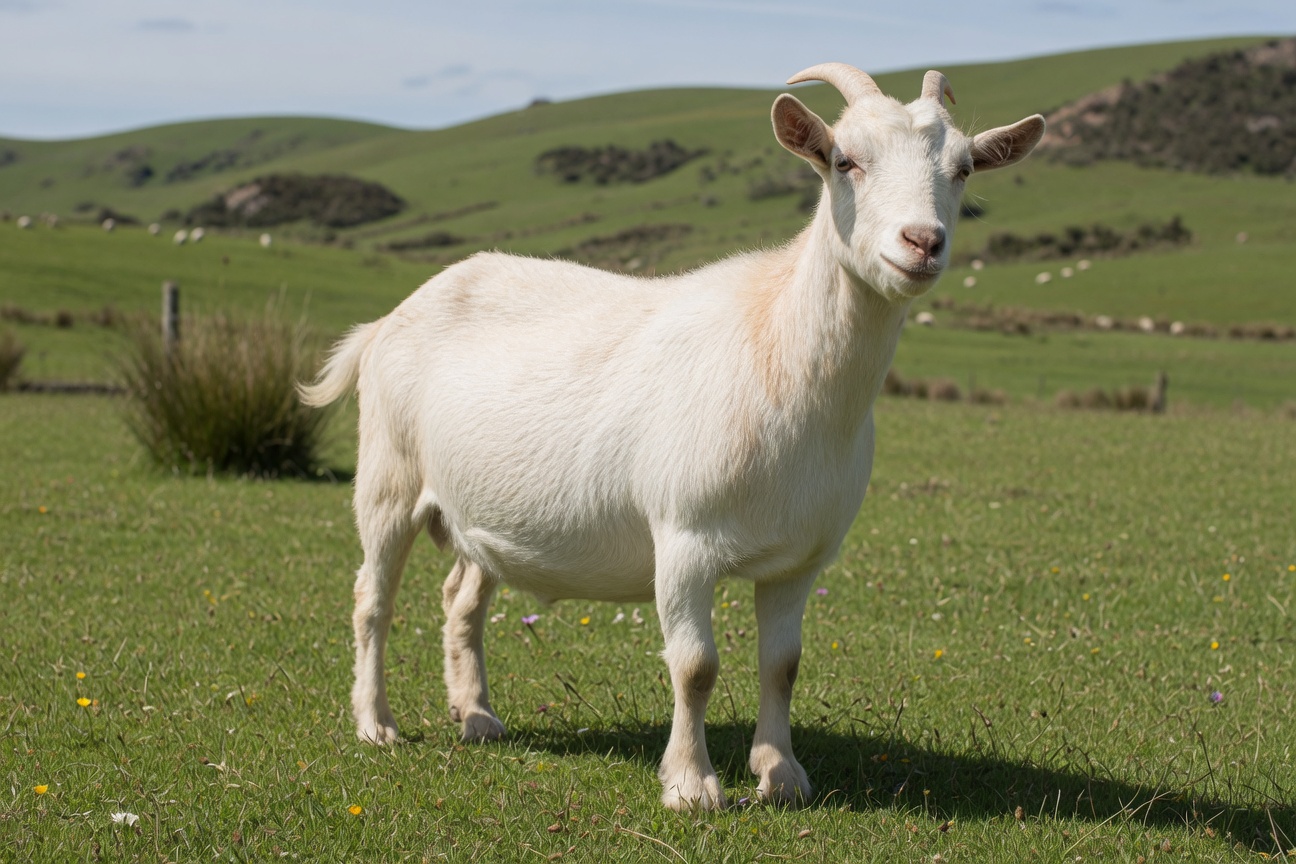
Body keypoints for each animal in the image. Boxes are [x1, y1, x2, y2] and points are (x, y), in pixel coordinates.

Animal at [301, 63, 1044, 811]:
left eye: (963, 170)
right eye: (845, 162)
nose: (922, 242)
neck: (775, 350)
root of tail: (392, 316)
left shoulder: (800, 559)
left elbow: (783, 665)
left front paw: (782, 775)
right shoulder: (685, 538)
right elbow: (695, 666)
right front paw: (691, 784)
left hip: (481, 510)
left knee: (462, 599)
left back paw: (477, 715)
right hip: (389, 476)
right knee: (371, 600)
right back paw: (376, 724)